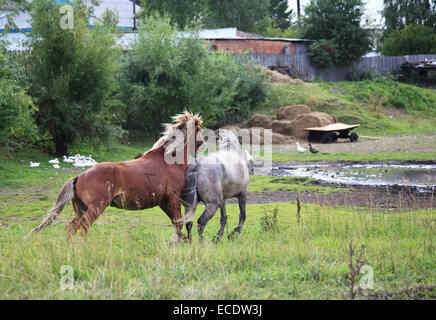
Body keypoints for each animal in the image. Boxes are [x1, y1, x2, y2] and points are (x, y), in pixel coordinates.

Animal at [24, 111, 205, 241]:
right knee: (82, 228)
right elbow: (179, 225)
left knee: (71, 228)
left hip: (82, 209)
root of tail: (79, 176)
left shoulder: (162, 201)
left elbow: (177, 225)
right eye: (199, 131)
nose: (203, 143)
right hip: (96, 208)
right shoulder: (173, 199)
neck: (168, 160)